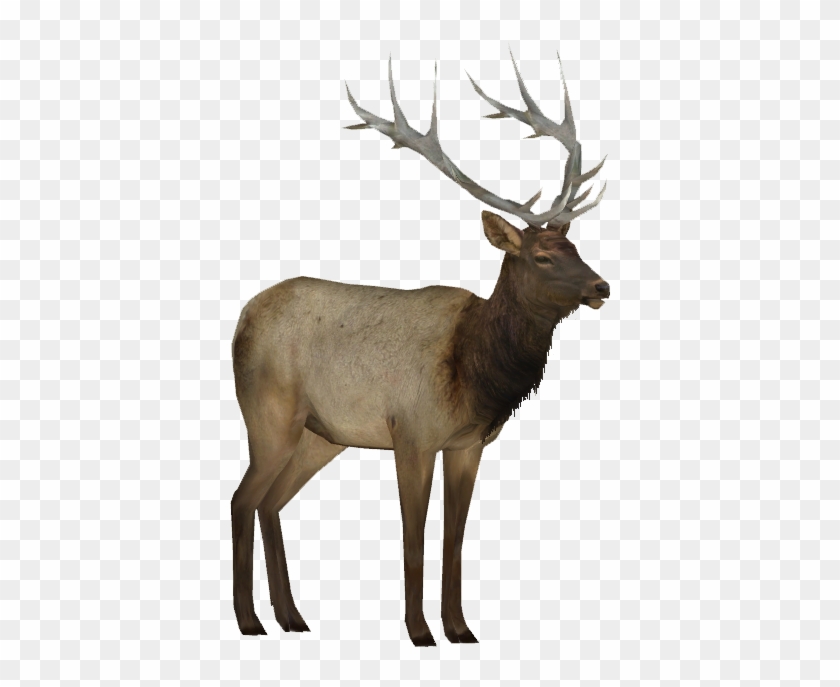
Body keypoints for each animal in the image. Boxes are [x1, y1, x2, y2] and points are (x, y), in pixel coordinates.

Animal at [230, 50, 610, 646]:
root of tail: (242, 316)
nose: (602, 286)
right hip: (268, 415)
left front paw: (460, 628)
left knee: (270, 503)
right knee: (242, 499)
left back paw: (292, 617)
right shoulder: (411, 434)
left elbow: (455, 537)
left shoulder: (468, 443)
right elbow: (414, 535)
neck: (475, 371)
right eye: (543, 257)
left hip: (321, 437)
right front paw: (419, 630)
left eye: (574, 246)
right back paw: (250, 621)